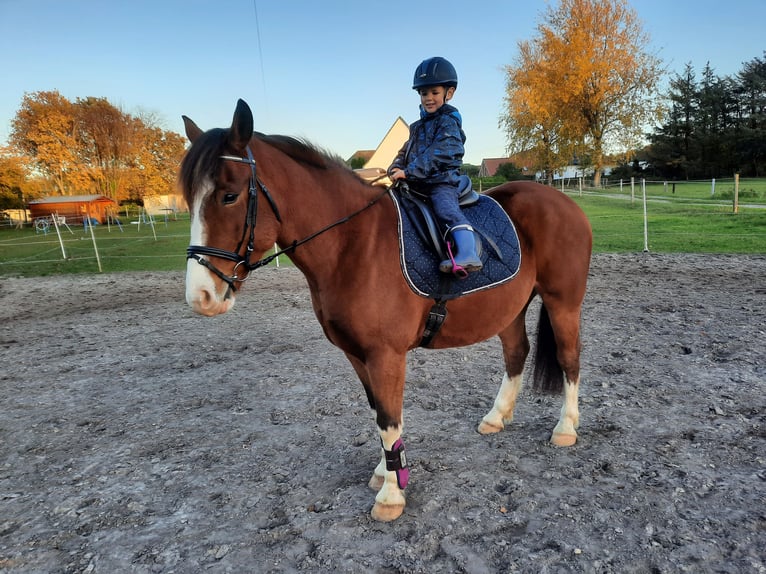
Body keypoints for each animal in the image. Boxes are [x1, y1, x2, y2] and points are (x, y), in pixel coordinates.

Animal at [180, 101, 592, 524]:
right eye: (189, 198)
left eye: (229, 196)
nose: (201, 296)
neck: (353, 245)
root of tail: (563, 201)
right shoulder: (356, 353)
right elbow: (379, 413)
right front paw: (385, 472)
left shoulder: (386, 355)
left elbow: (389, 417)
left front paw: (392, 495)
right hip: (509, 309)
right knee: (516, 353)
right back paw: (497, 417)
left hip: (563, 302)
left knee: (569, 358)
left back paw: (566, 428)